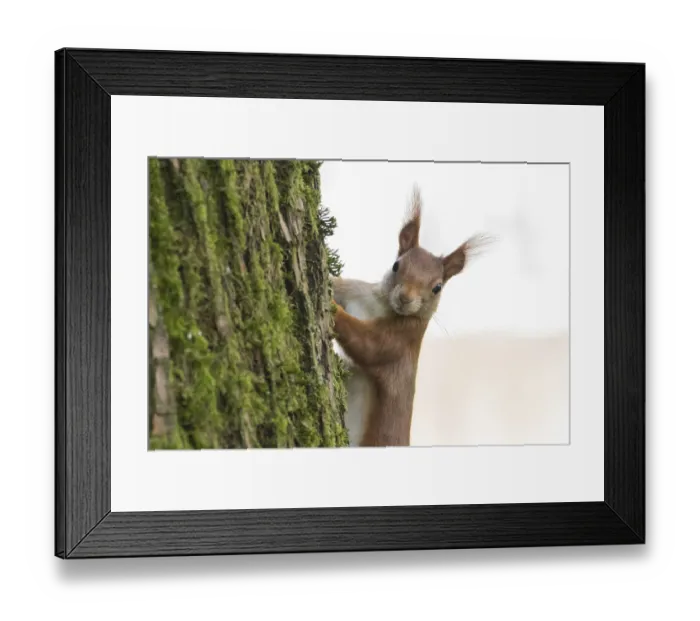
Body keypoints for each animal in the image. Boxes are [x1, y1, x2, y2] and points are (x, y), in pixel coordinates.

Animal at [331, 186, 490, 447]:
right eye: (396, 265)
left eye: (437, 287)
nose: (405, 298)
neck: (381, 305)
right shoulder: (356, 291)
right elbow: (339, 286)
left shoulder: (400, 341)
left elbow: (368, 345)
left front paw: (332, 307)